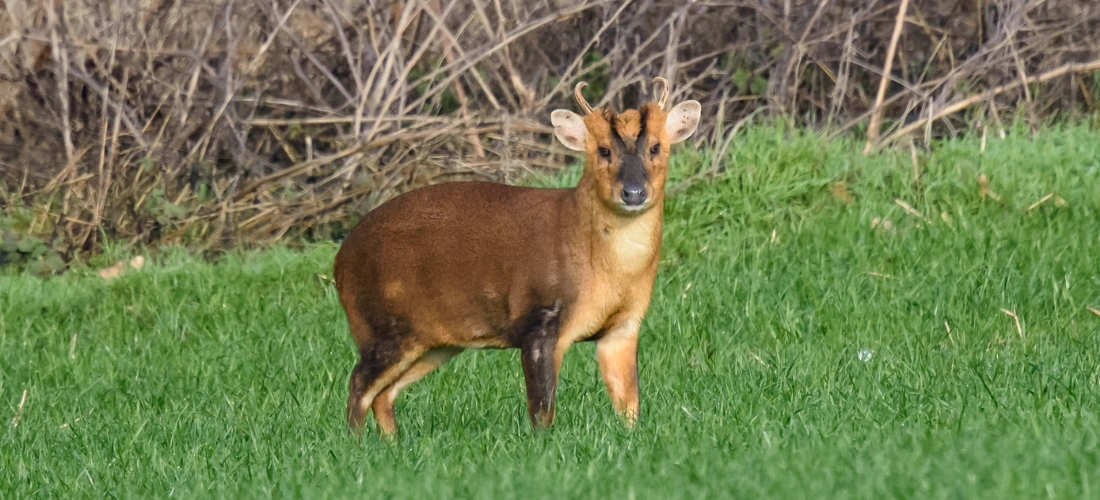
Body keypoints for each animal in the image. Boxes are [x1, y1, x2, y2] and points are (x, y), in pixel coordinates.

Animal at [333, 77, 702, 438]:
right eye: (603, 150)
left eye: (656, 147)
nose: (634, 193)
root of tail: (340, 262)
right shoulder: (539, 319)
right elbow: (542, 410)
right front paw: (544, 447)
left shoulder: (624, 326)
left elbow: (629, 403)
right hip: (383, 326)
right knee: (359, 383)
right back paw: (356, 444)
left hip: (434, 341)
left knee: (383, 394)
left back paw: (392, 443)